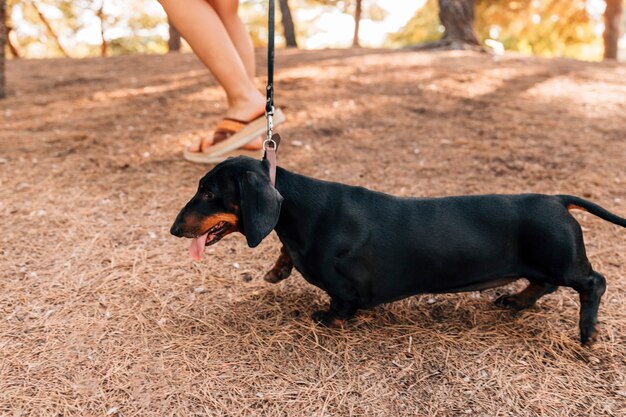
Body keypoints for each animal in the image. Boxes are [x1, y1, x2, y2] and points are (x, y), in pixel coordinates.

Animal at [171, 156, 624, 344]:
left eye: (208, 192)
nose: (174, 229)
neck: (303, 210)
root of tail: (556, 199)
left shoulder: (344, 290)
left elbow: (340, 305)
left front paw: (327, 319)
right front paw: (278, 269)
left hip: (564, 262)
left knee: (594, 282)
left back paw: (587, 332)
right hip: (545, 265)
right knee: (541, 285)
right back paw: (515, 300)